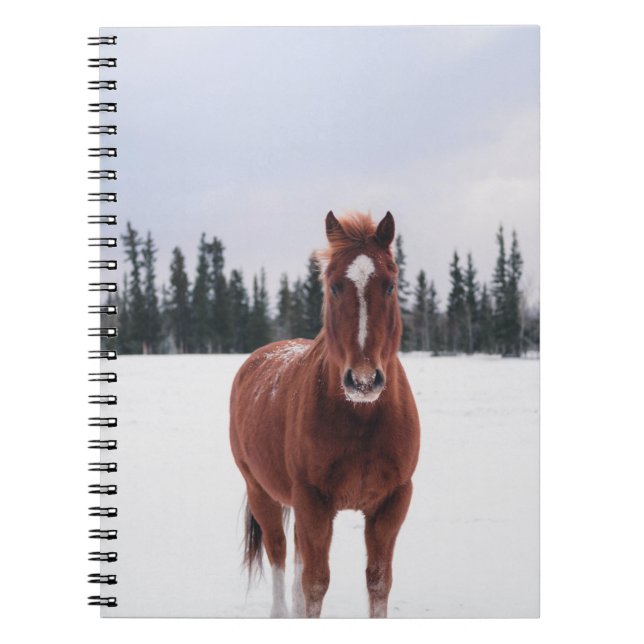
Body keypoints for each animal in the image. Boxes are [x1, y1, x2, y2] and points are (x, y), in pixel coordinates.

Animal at [229, 211, 420, 618]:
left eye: (391, 285)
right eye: (333, 287)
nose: (363, 380)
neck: (361, 419)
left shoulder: (392, 502)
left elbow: (378, 582)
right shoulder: (313, 502)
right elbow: (315, 583)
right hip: (261, 492)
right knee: (280, 554)